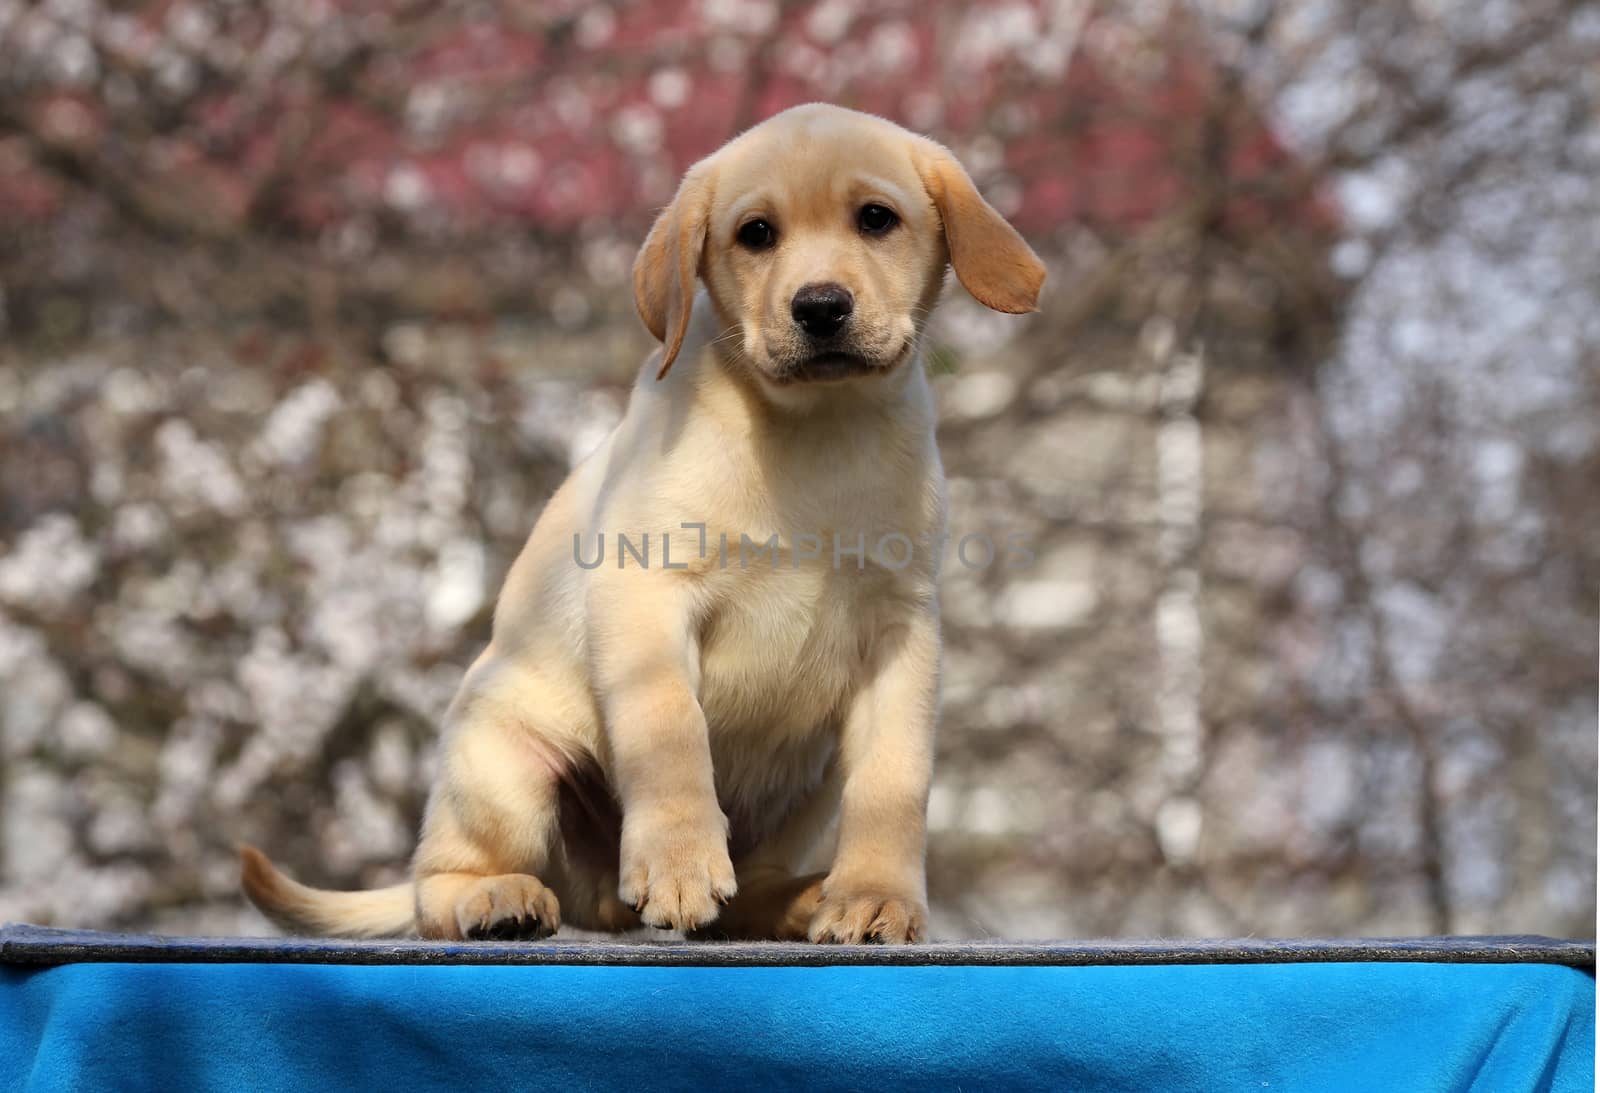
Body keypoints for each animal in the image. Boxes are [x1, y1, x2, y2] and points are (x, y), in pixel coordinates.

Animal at [236, 100, 1036, 940]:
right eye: (756, 234)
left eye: (876, 219)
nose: (820, 307)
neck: (816, 427)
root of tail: (594, 896)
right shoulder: (646, 591)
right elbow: (670, 731)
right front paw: (679, 861)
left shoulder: (900, 632)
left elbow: (892, 781)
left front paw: (876, 894)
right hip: (504, 762)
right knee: (438, 884)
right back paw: (496, 897)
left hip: (807, 783)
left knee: (746, 892)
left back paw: (799, 897)